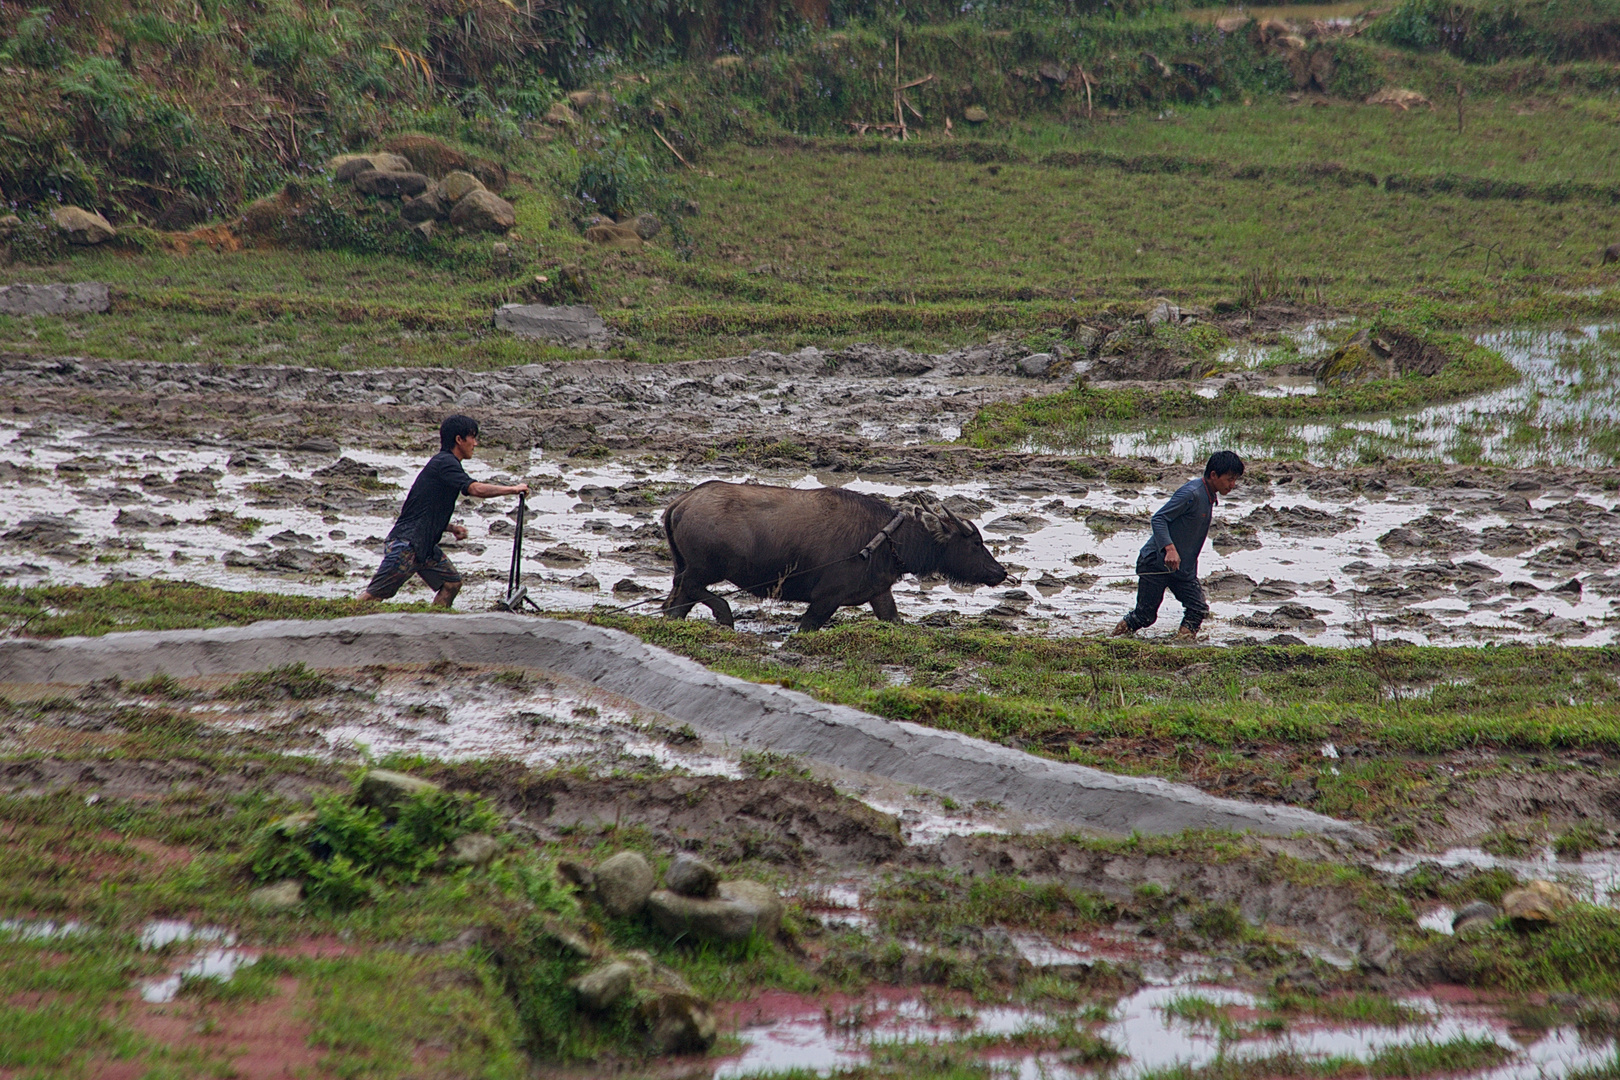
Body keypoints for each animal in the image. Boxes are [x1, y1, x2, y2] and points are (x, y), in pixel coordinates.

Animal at [664, 482, 1004, 634]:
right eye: (975, 542)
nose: (999, 572)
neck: (885, 539)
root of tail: (682, 502)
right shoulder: (826, 599)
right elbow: (807, 625)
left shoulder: (879, 593)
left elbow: (893, 618)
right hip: (703, 569)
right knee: (690, 588)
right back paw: (725, 615)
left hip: (689, 568)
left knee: (675, 604)